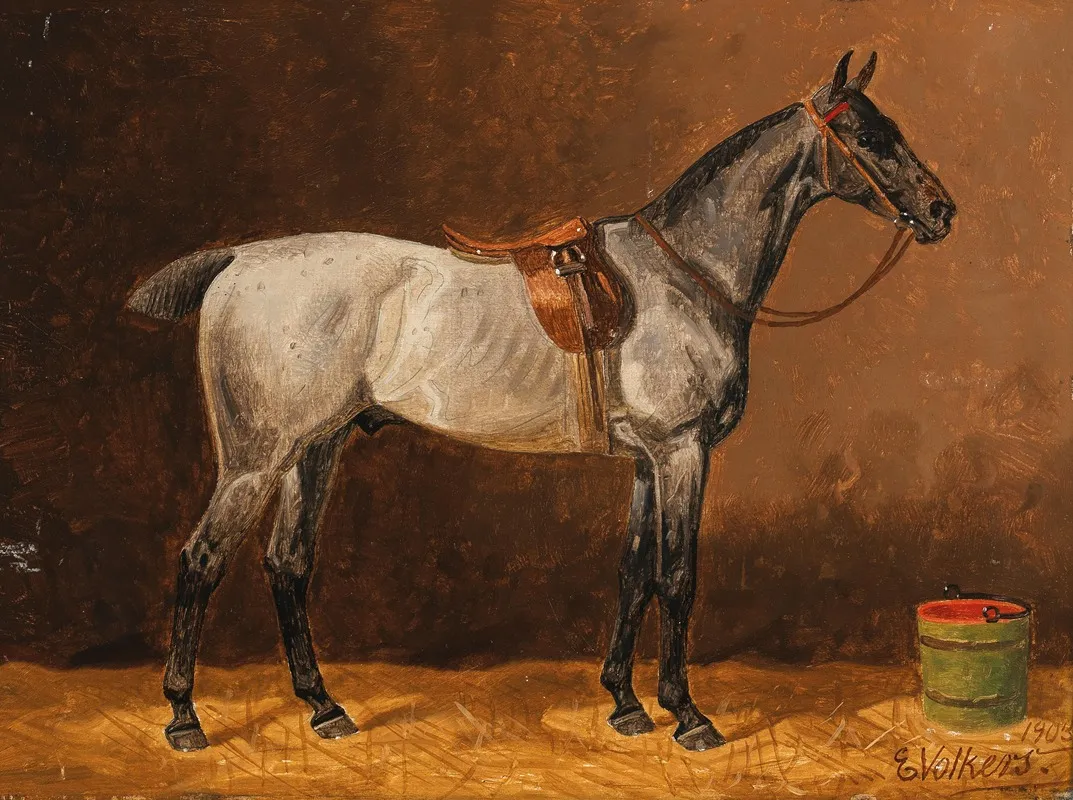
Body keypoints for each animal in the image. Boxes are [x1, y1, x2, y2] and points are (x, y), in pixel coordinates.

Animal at [126, 50, 954, 753]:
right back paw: (184, 719)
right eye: (868, 135)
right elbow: (677, 577)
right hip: (255, 458)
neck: (685, 274)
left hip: (314, 451)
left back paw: (324, 708)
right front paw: (685, 714)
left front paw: (624, 704)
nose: (941, 210)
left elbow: (632, 573)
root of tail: (238, 258)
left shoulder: (647, 462)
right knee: (200, 562)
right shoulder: (681, 452)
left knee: (287, 564)